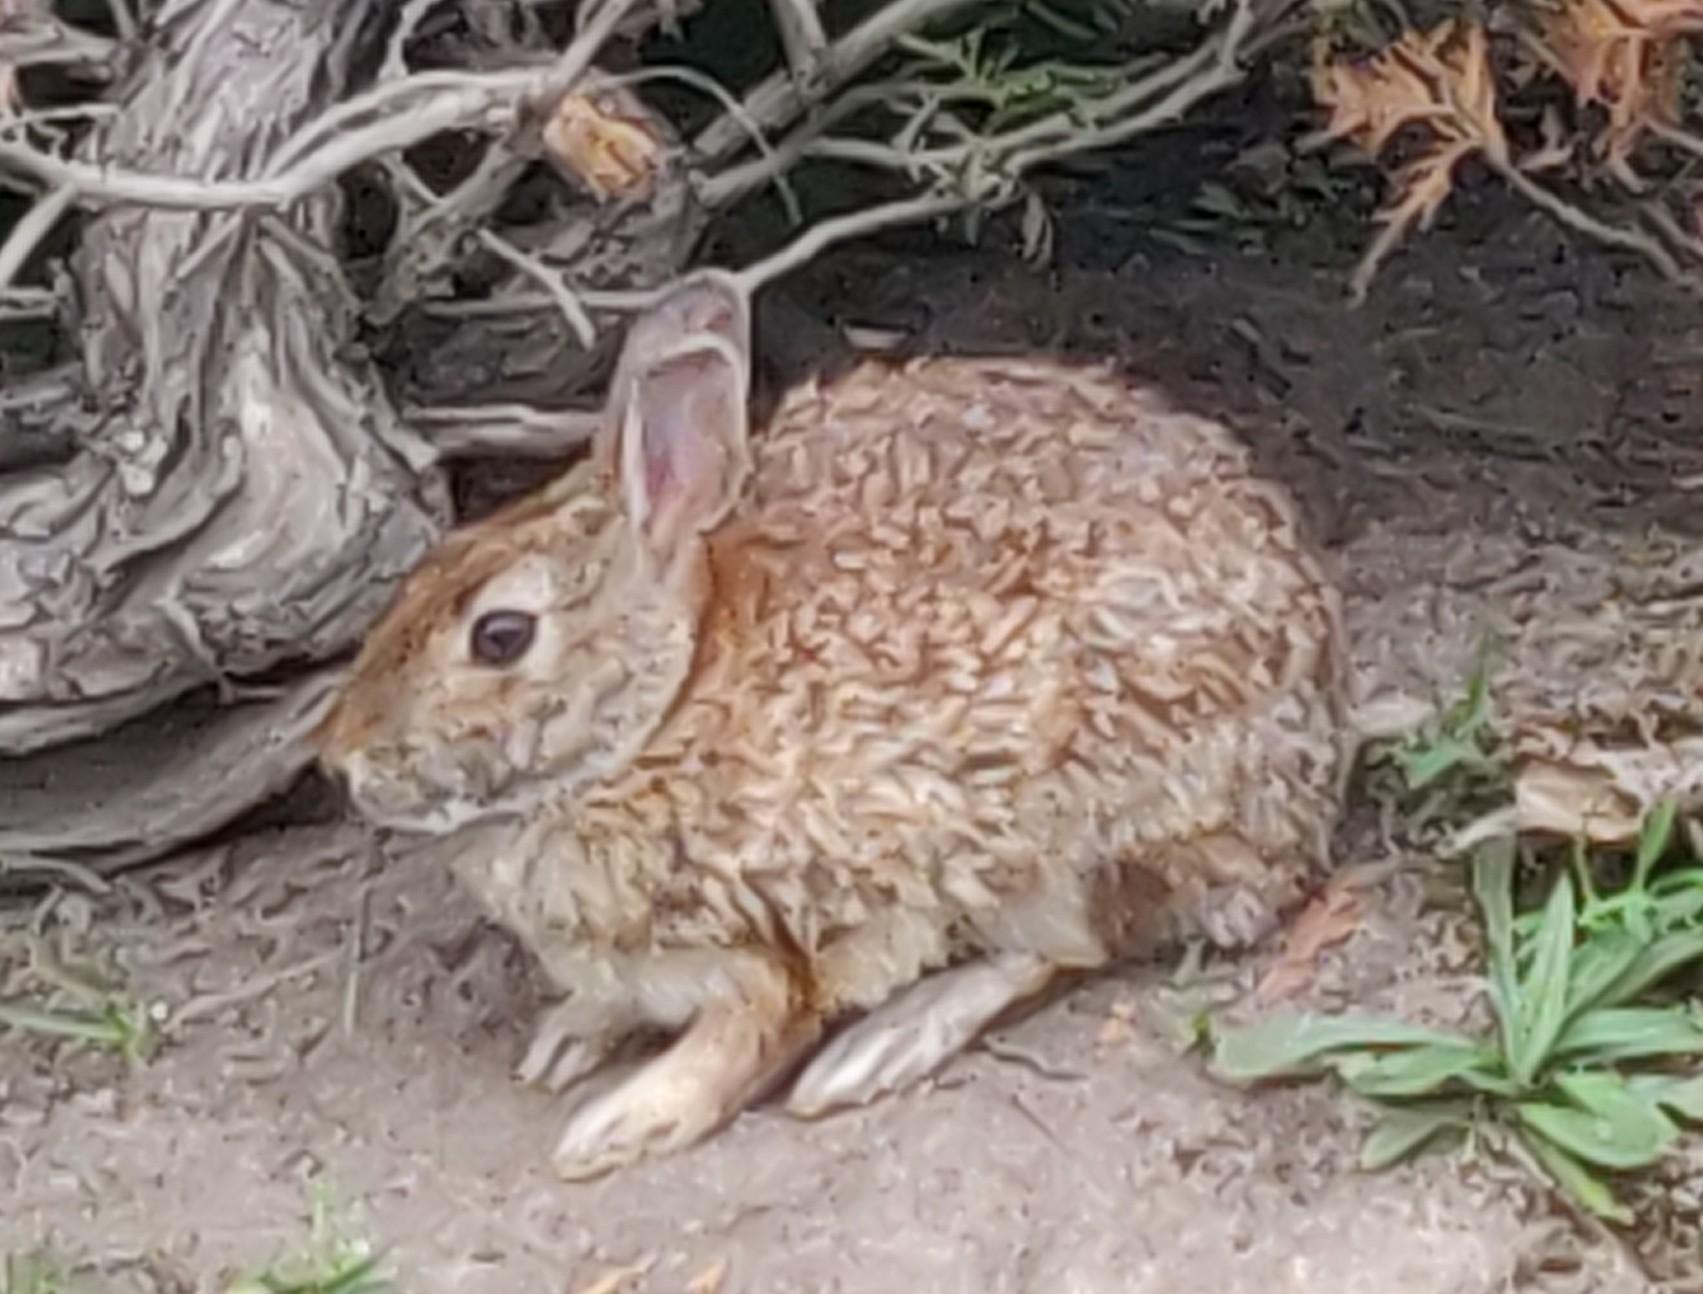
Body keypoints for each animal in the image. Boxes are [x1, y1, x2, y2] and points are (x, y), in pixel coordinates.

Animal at [315, 268, 1353, 1181]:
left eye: (500, 636)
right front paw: (565, 1041)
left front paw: (621, 1126)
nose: (341, 760)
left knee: (1070, 946)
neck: (658, 715)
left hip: (1067, 829)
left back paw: (883, 1045)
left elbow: (750, 1032)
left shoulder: (762, 939)